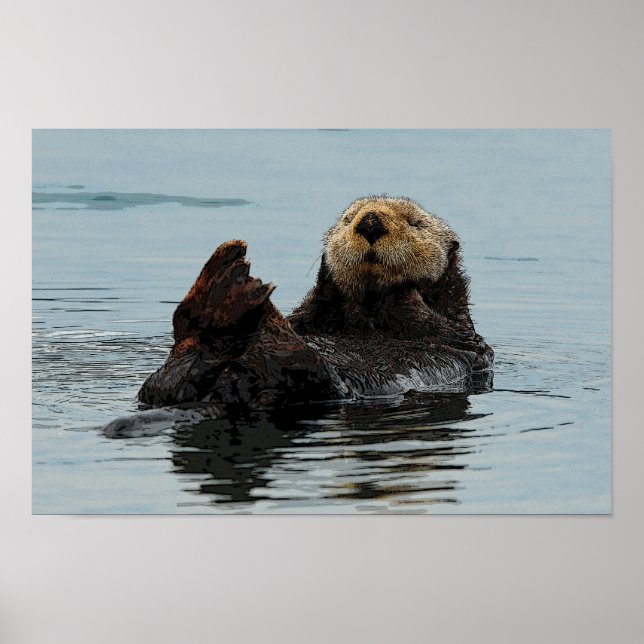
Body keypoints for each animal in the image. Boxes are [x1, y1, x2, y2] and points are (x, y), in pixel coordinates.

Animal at [137, 196, 493, 411]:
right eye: (349, 218)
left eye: (414, 222)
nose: (370, 221)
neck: (366, 318)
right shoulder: (311, 316)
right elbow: (308, 311)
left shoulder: (465, 338)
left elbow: (438, 327)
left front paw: (398, 286)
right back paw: (225, 278)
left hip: (303, 374)